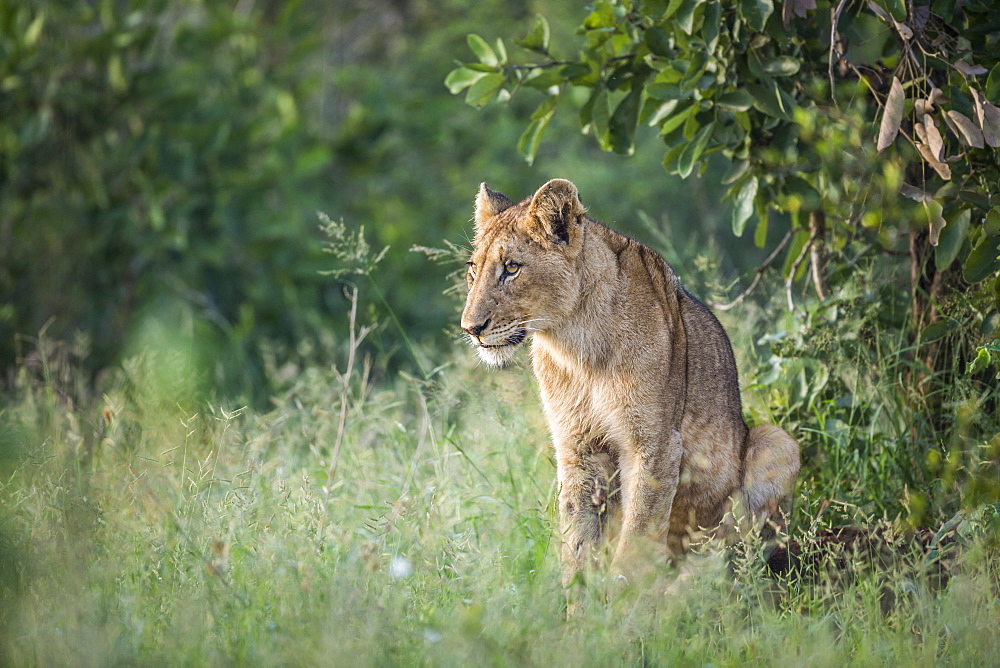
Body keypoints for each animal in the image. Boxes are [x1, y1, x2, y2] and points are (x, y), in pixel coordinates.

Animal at [458, 177, 796, 604]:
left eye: (512, 268)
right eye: (473, 269)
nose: (471, 328)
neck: (575, 345)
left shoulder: (656, 444)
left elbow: (637, 538)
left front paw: (621, 609)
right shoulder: (578, 448)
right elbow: (577, 542)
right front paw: (579, 610)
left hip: (778, 441)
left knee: (733, 555)